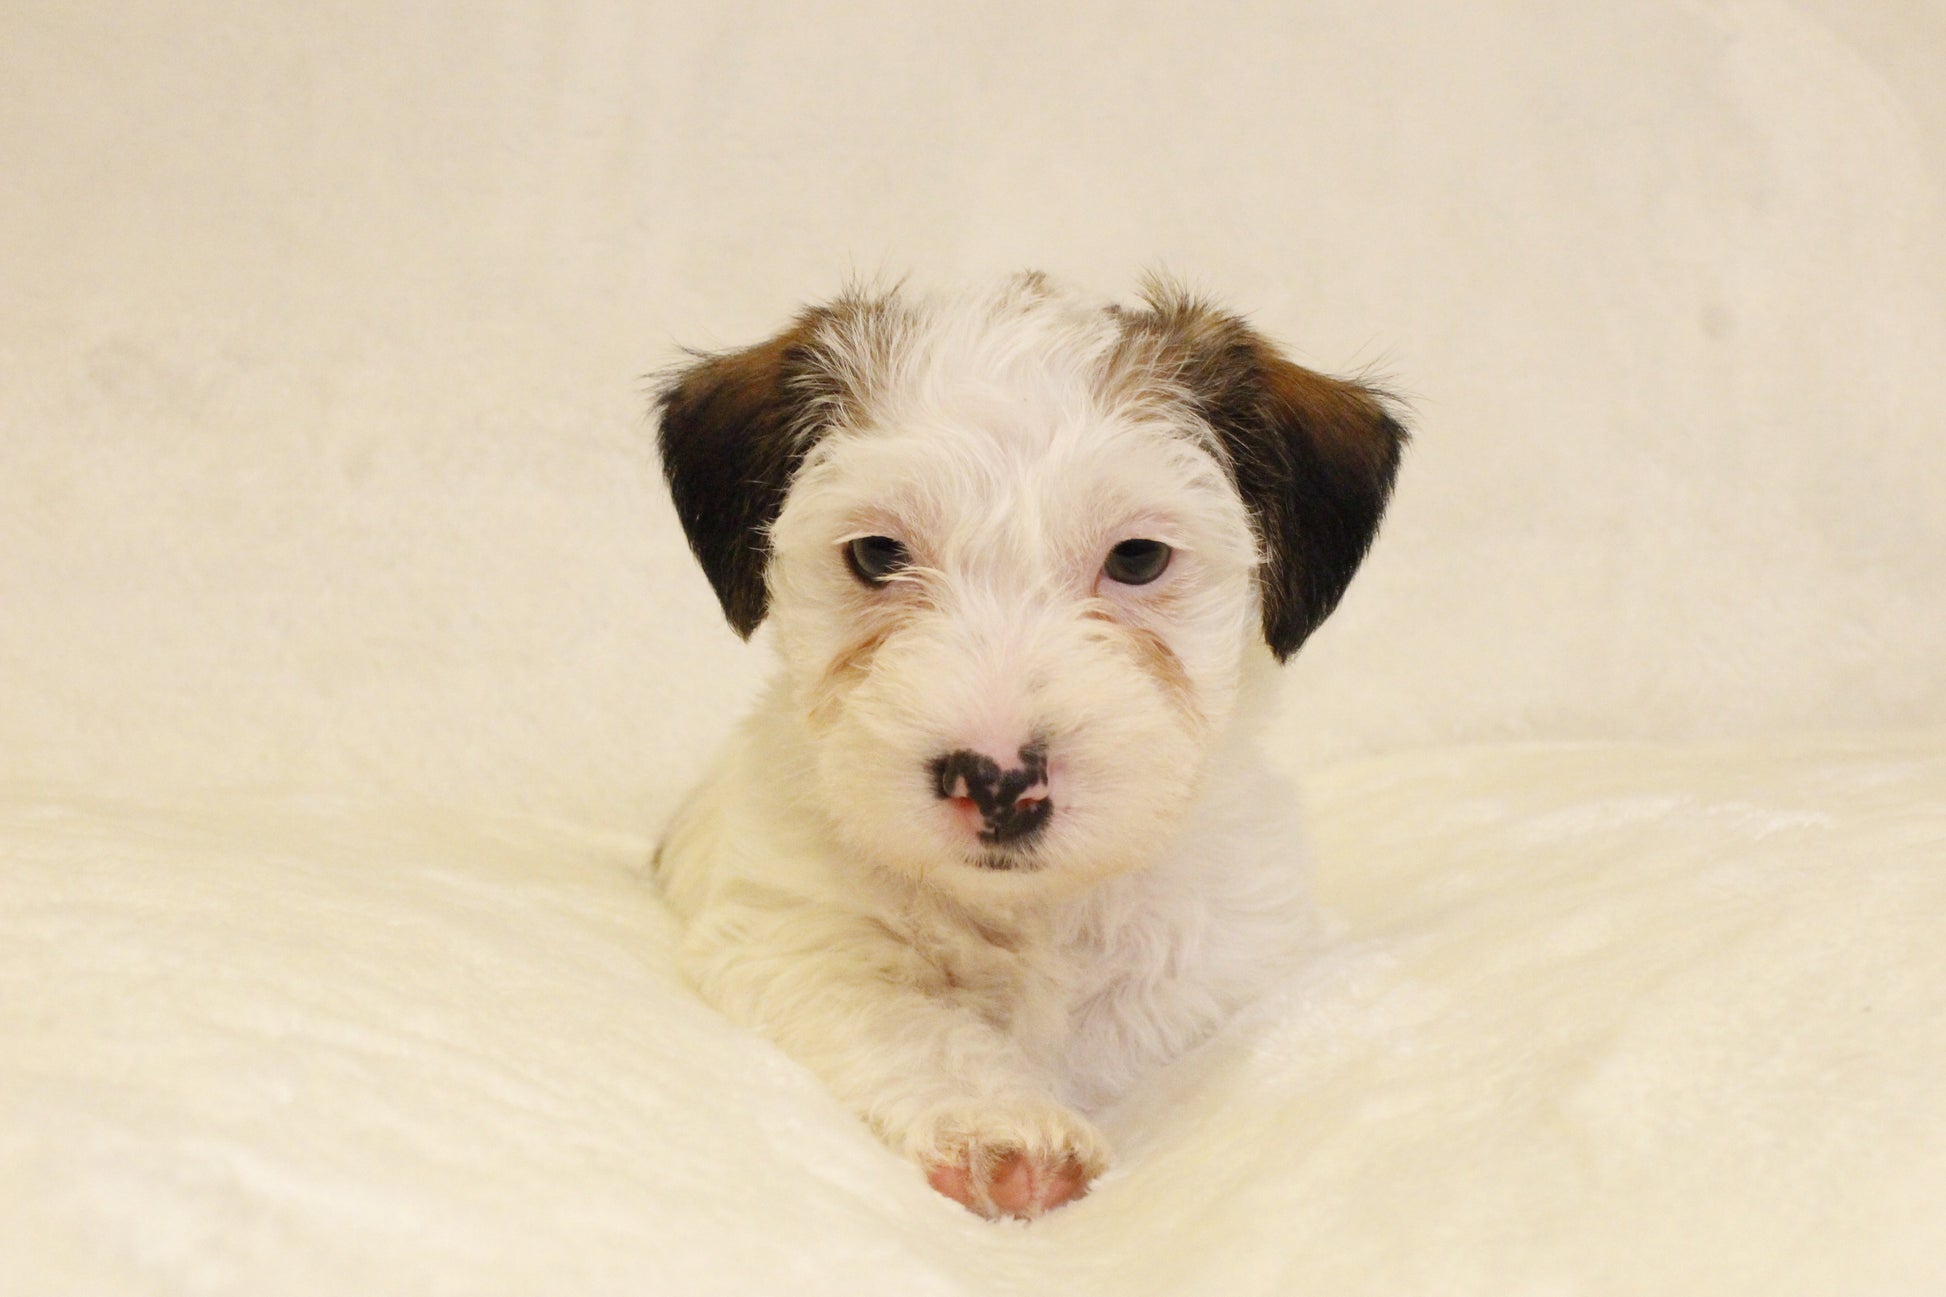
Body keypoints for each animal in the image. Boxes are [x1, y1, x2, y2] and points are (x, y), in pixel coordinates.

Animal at [652, 274, 1404, 1219]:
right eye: (876, 552)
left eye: (1139, 556)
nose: (998, 782)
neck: (1035, 914)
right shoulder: (786, 933)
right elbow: (905, 1017)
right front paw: (1002, 1125)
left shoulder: (1240, 955)